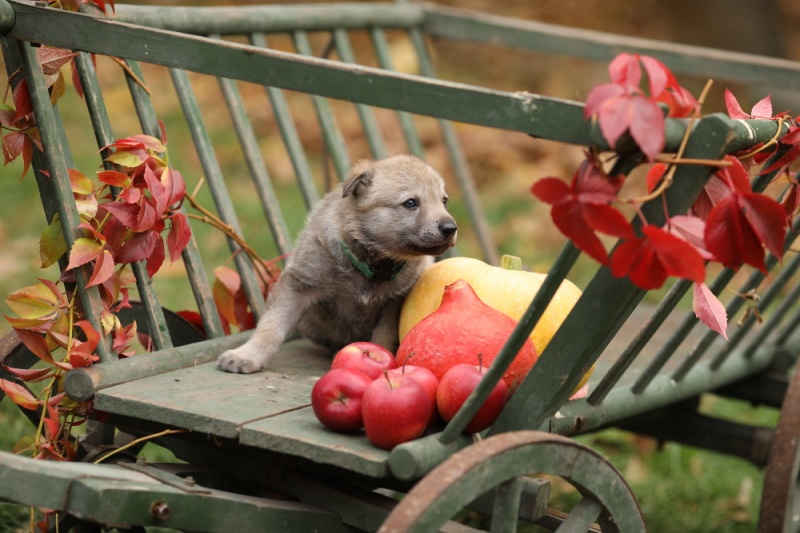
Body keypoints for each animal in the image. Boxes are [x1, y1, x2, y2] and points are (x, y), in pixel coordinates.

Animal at [217, 154, 456, 374]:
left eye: (444, 200)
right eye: (410, 203)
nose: (450, 228)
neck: (371, 264)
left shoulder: (393, 303)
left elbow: (383, 336)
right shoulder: (299, 285)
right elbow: (271, 325)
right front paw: (247, 355)